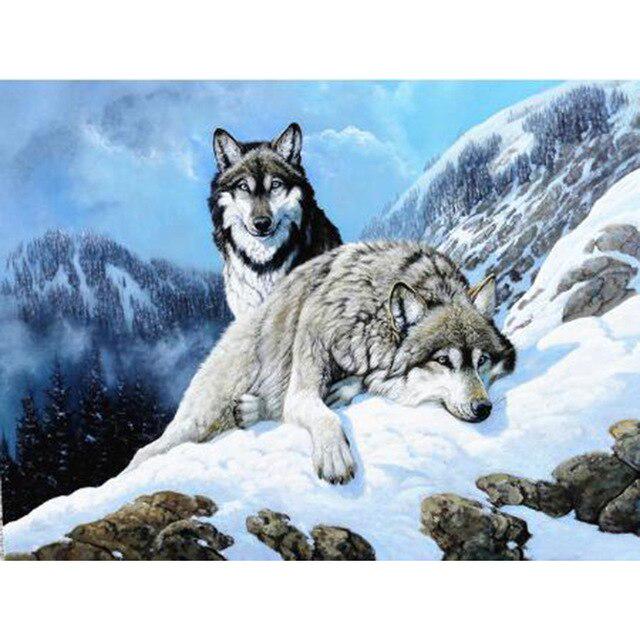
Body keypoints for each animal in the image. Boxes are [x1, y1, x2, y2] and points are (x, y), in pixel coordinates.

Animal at [126, 241, 516, 484]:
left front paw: (342, 390)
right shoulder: (307, 364)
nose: (483, 408)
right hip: (197, 418)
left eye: (481, 360)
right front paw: (334, 456)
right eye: (444, 360)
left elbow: (348, 388)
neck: (370, 309)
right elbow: (321, 415)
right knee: (146, 450)